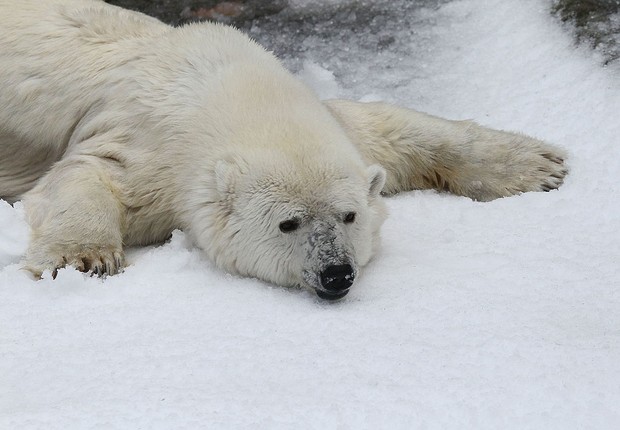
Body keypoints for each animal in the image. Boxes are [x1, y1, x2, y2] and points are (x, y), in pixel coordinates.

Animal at [0, 0, 568, 298]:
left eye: (348, 215)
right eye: (287, 223)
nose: (337, 274)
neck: (225, 90)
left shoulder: (334, 128)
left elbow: (388, 128)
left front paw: (539, 165)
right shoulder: (148, 146)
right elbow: (87, 176)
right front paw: (82, 260)